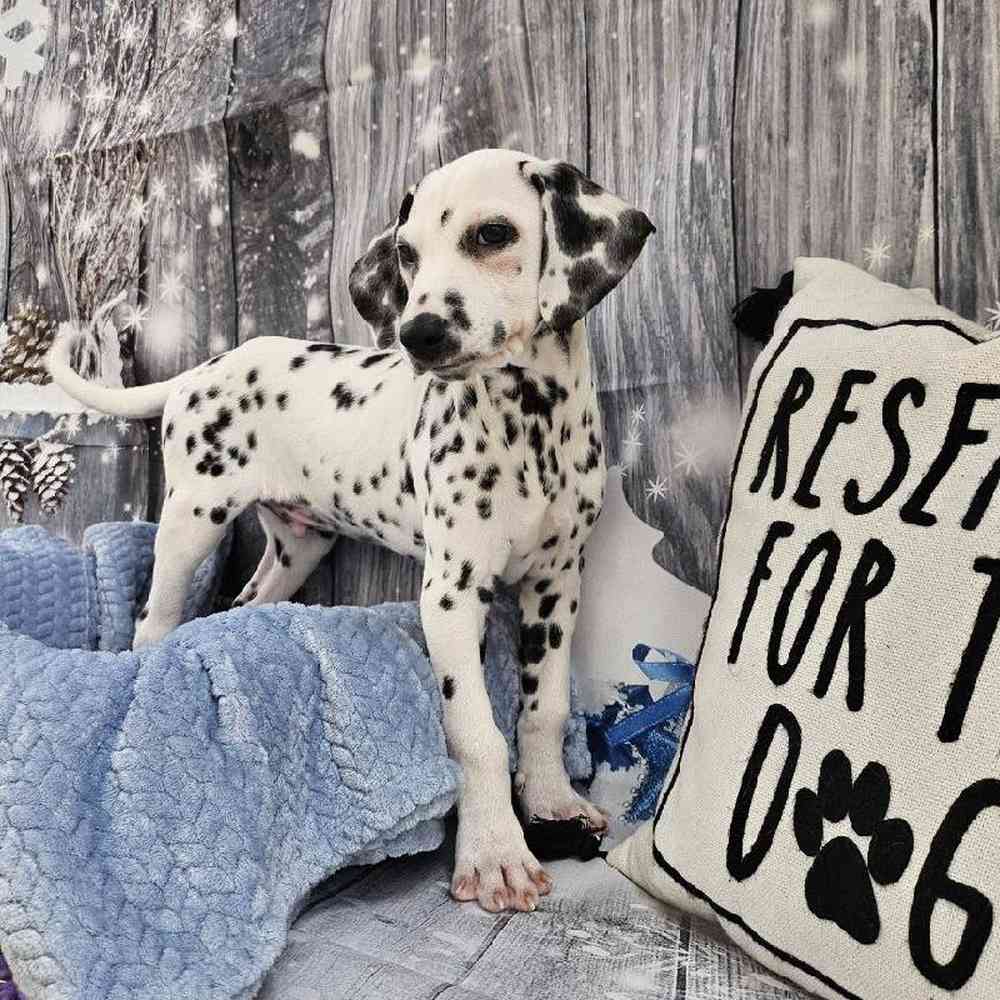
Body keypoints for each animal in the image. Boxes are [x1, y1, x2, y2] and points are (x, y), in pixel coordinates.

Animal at [48, 150, 656, 916]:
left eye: (493, 234)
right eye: (407, 254)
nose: (418, 333)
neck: (530, 422)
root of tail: (202, 369)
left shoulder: (556, 586)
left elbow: (543, 708)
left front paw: (550, 801)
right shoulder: (451, 595)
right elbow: (477, 733)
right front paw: (494, 853)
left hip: (299, 545)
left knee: (243, 604)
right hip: (192, 518)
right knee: (152, 619)